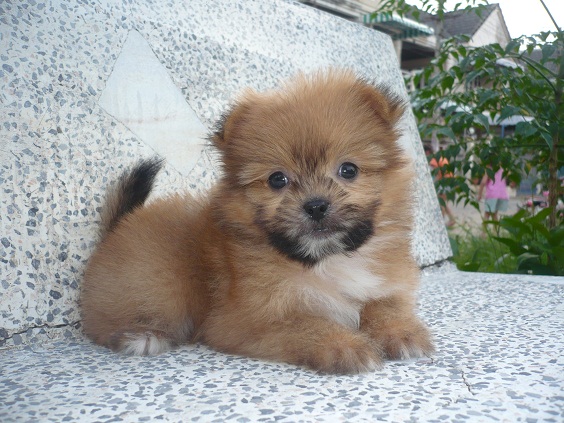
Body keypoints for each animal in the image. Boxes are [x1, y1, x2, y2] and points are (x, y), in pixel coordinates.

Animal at [80, 69, 434, 373]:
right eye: (278, 179)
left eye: (348, 170)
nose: (316, 205)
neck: (326, 260)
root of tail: (118, 226)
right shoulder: (248, 320)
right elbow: (308, 324)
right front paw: (344, 345)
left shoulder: (386, 284)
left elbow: (385, 305)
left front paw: (402, 332)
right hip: (158, 283)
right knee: (103, 321)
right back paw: (142, 336)